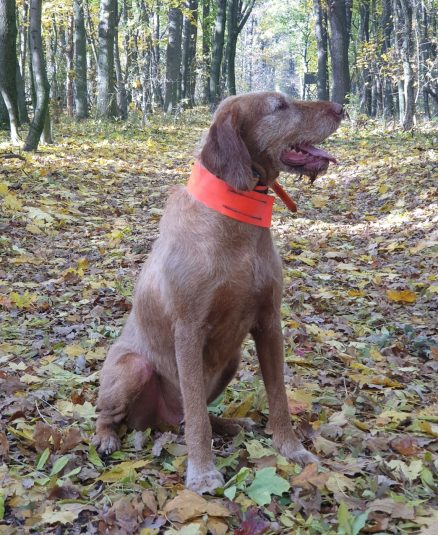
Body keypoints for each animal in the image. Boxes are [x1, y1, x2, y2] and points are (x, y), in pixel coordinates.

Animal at [93, 92, 343, 494]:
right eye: (279, 106)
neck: (238, 221)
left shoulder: (269, 322)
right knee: (118, 414)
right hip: (131, 367)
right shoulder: (188, 331)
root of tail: (157, 422)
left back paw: (232, 424)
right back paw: (106, 437)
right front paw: (203, 472)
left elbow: (278, 396)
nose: (341, 107)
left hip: (231, 360)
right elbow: (197, 416)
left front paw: (290, 448)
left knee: (191, 416)